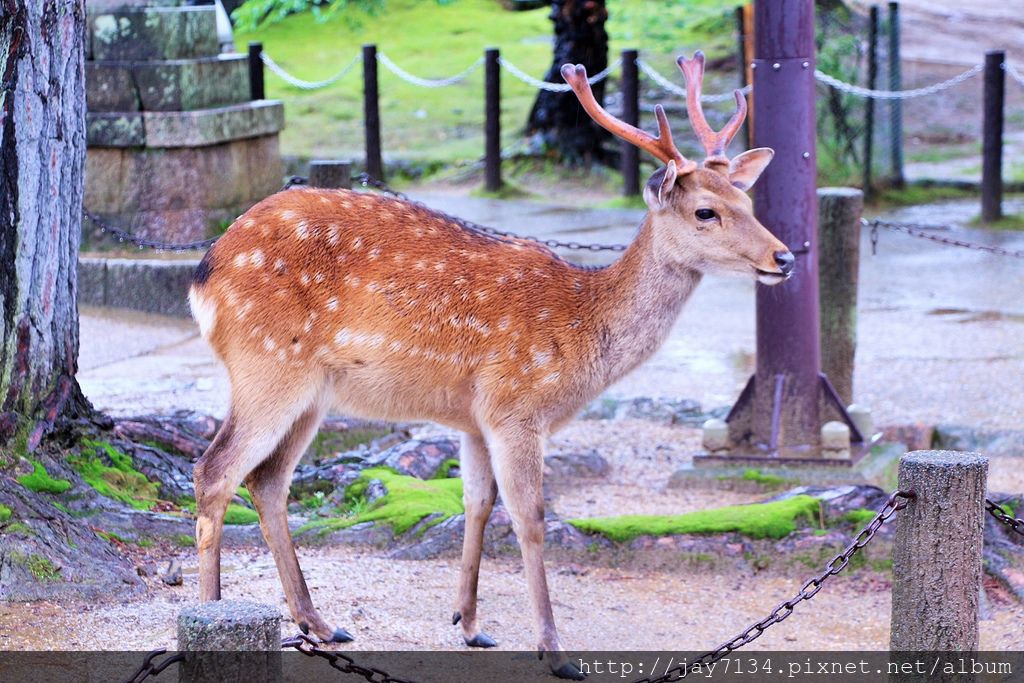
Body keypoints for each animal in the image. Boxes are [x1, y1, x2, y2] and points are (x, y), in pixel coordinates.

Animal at [187, 51, 792, 679]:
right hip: (267, 362)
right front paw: (554, 650)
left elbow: (477, 504)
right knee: (215, 469)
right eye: (705, 212)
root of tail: (205, 272)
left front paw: (470, 625)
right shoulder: (516, 405)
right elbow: (530, 517)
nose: (785, 257)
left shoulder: (475, 418)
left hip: (313, 390)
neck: (582, 333)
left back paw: (319, 623)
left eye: (748, 203)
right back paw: (211, 615)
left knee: (267, 479)